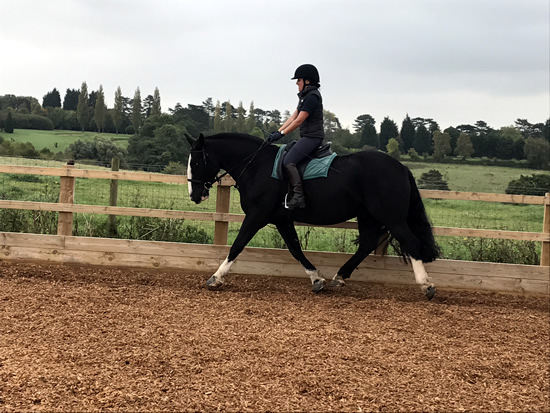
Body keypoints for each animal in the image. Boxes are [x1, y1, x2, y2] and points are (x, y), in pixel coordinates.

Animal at [188, 132, 442, 296]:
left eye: (198, 161)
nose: (195, 195)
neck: (257, 166)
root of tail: (401, 167)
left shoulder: (256, 216)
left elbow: (237, 245)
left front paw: (215, 278)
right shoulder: (281, 219)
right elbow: (295, 249)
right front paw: (317, 279)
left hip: (392, 217)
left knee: (410, 243)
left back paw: (426, 285)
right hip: (368, 216)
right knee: (367, 244)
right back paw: (339, 278)